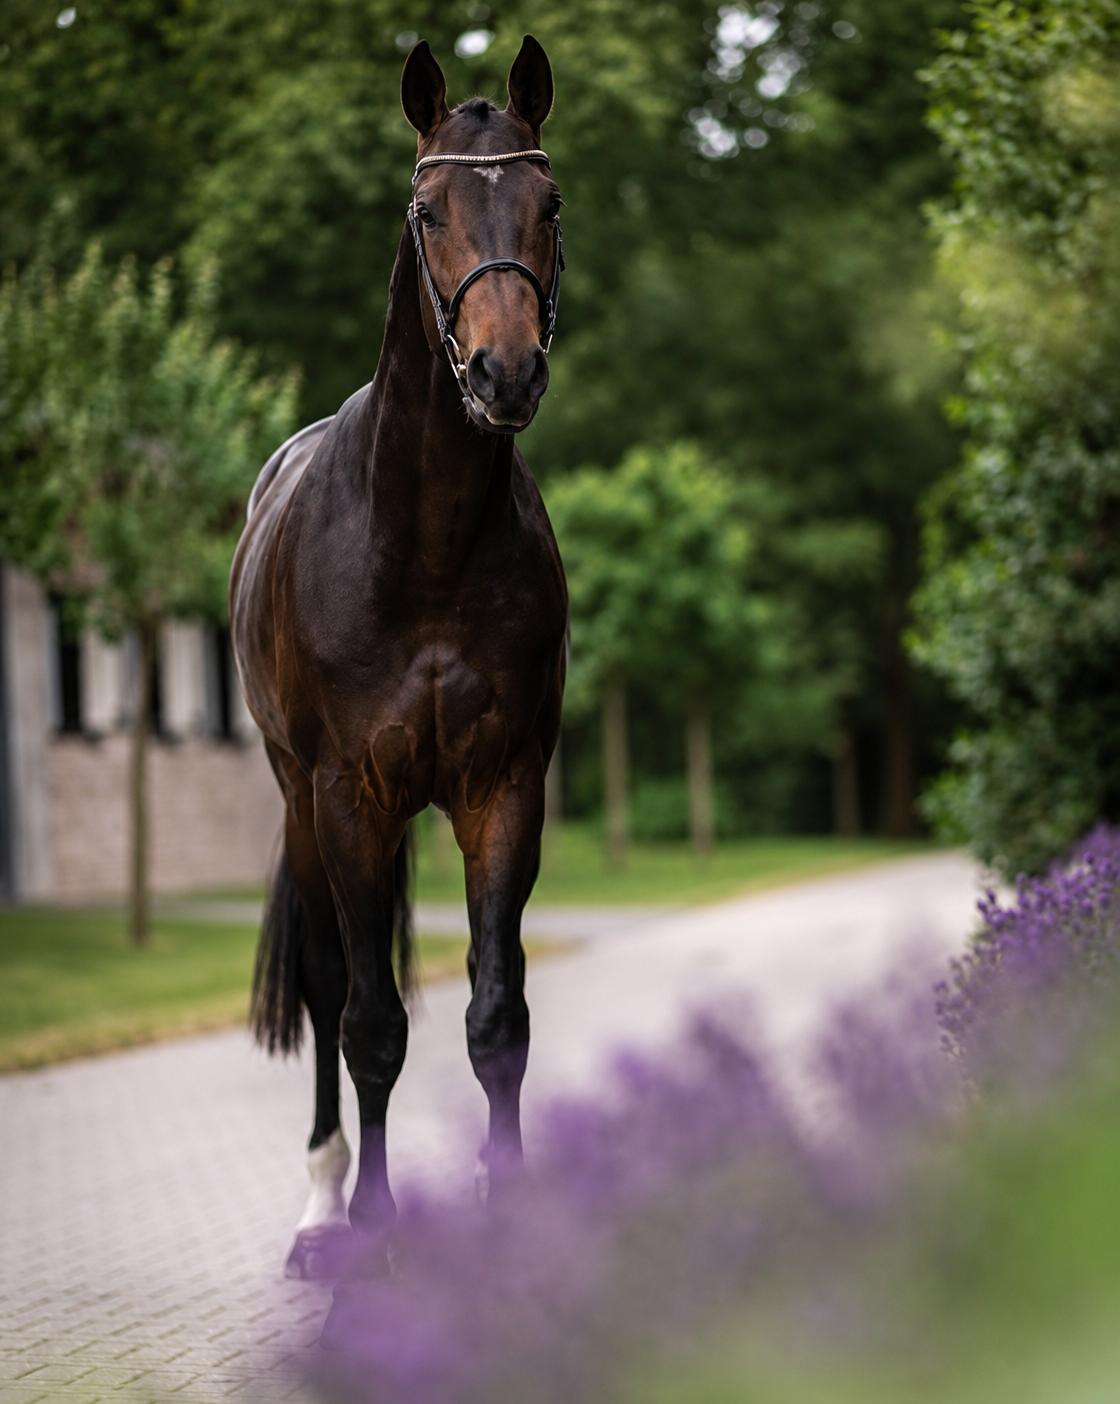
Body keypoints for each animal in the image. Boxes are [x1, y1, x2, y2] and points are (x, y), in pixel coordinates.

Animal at [229, 35, 568, 1278]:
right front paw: (371, 1226)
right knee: (332, 981)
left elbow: (496, 1014)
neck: (420, 546)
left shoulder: (502, 787)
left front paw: (511, 1211)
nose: (505, 373)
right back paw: (323, 1203)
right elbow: (369, 1020)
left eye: (547, 202)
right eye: (428, 212)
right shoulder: (349, 794)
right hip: (301, 803)